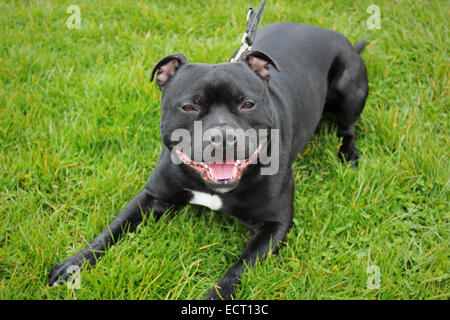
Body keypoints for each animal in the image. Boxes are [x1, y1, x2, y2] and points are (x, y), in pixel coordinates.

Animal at [49, 20, 368, 300]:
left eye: (247, 104)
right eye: (189, 107)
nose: (222, 136)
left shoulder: (274, 225)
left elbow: (240, 268)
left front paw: (217, 295)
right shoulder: (152, 196)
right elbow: (112, 229)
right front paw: (74, 264)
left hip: (350, 89)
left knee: (347, 126)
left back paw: (348, 154)